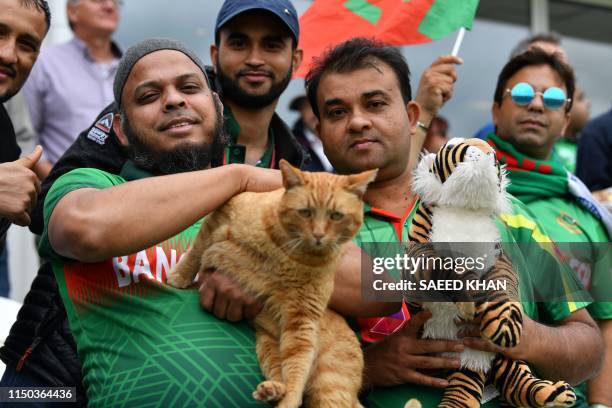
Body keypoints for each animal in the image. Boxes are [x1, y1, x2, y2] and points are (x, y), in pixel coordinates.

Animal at [165, 159, 376, 408]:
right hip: (268, 348)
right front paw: (179, 276)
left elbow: (298, 366)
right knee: (279, 372)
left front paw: (290, 399)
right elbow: (196, 251)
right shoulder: (218, 220)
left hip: (330, 384)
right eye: (305, 212)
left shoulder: (302, 316)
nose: (318, 235)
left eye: (336, 216)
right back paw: (273, 390)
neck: (287, 253)